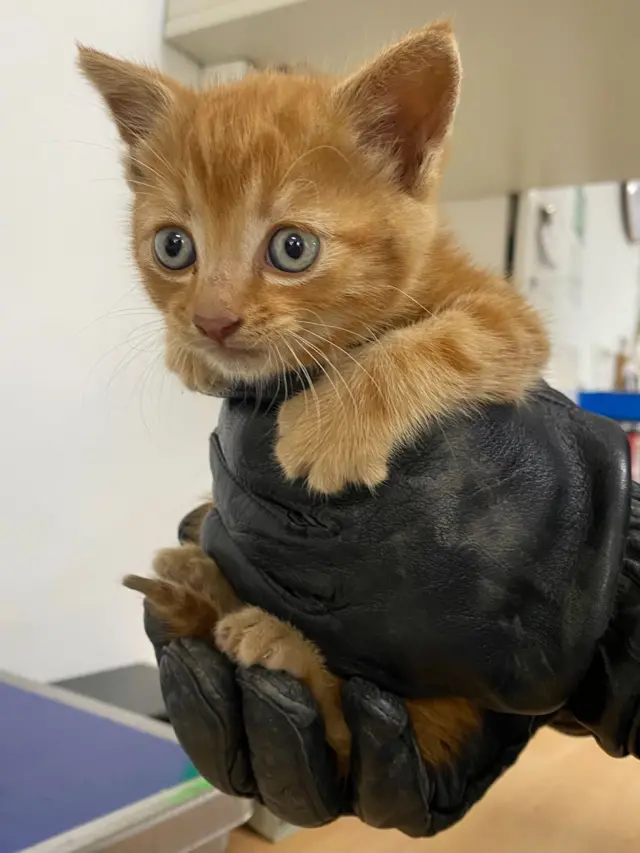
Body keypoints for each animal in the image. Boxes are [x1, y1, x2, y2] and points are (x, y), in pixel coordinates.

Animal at [79, 20, 552, 768]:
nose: (211, 321)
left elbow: (444, 340)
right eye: (174, 246)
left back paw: (278, 641)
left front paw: (331, 429)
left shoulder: (509, 319)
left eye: (292, 248)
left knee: (358, 728)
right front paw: (191, 355)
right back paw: (201, 575)